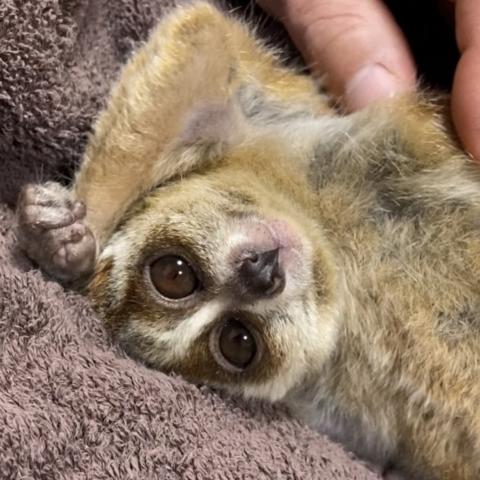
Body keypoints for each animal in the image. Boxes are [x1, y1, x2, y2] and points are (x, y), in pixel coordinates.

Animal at [15, 3, 480, 478]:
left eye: (174, 275)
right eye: (238, 342)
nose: (260, 274)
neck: (334, 253)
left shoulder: (276, 130)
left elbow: (204, 39)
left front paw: (67, 236)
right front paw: (58, 242)